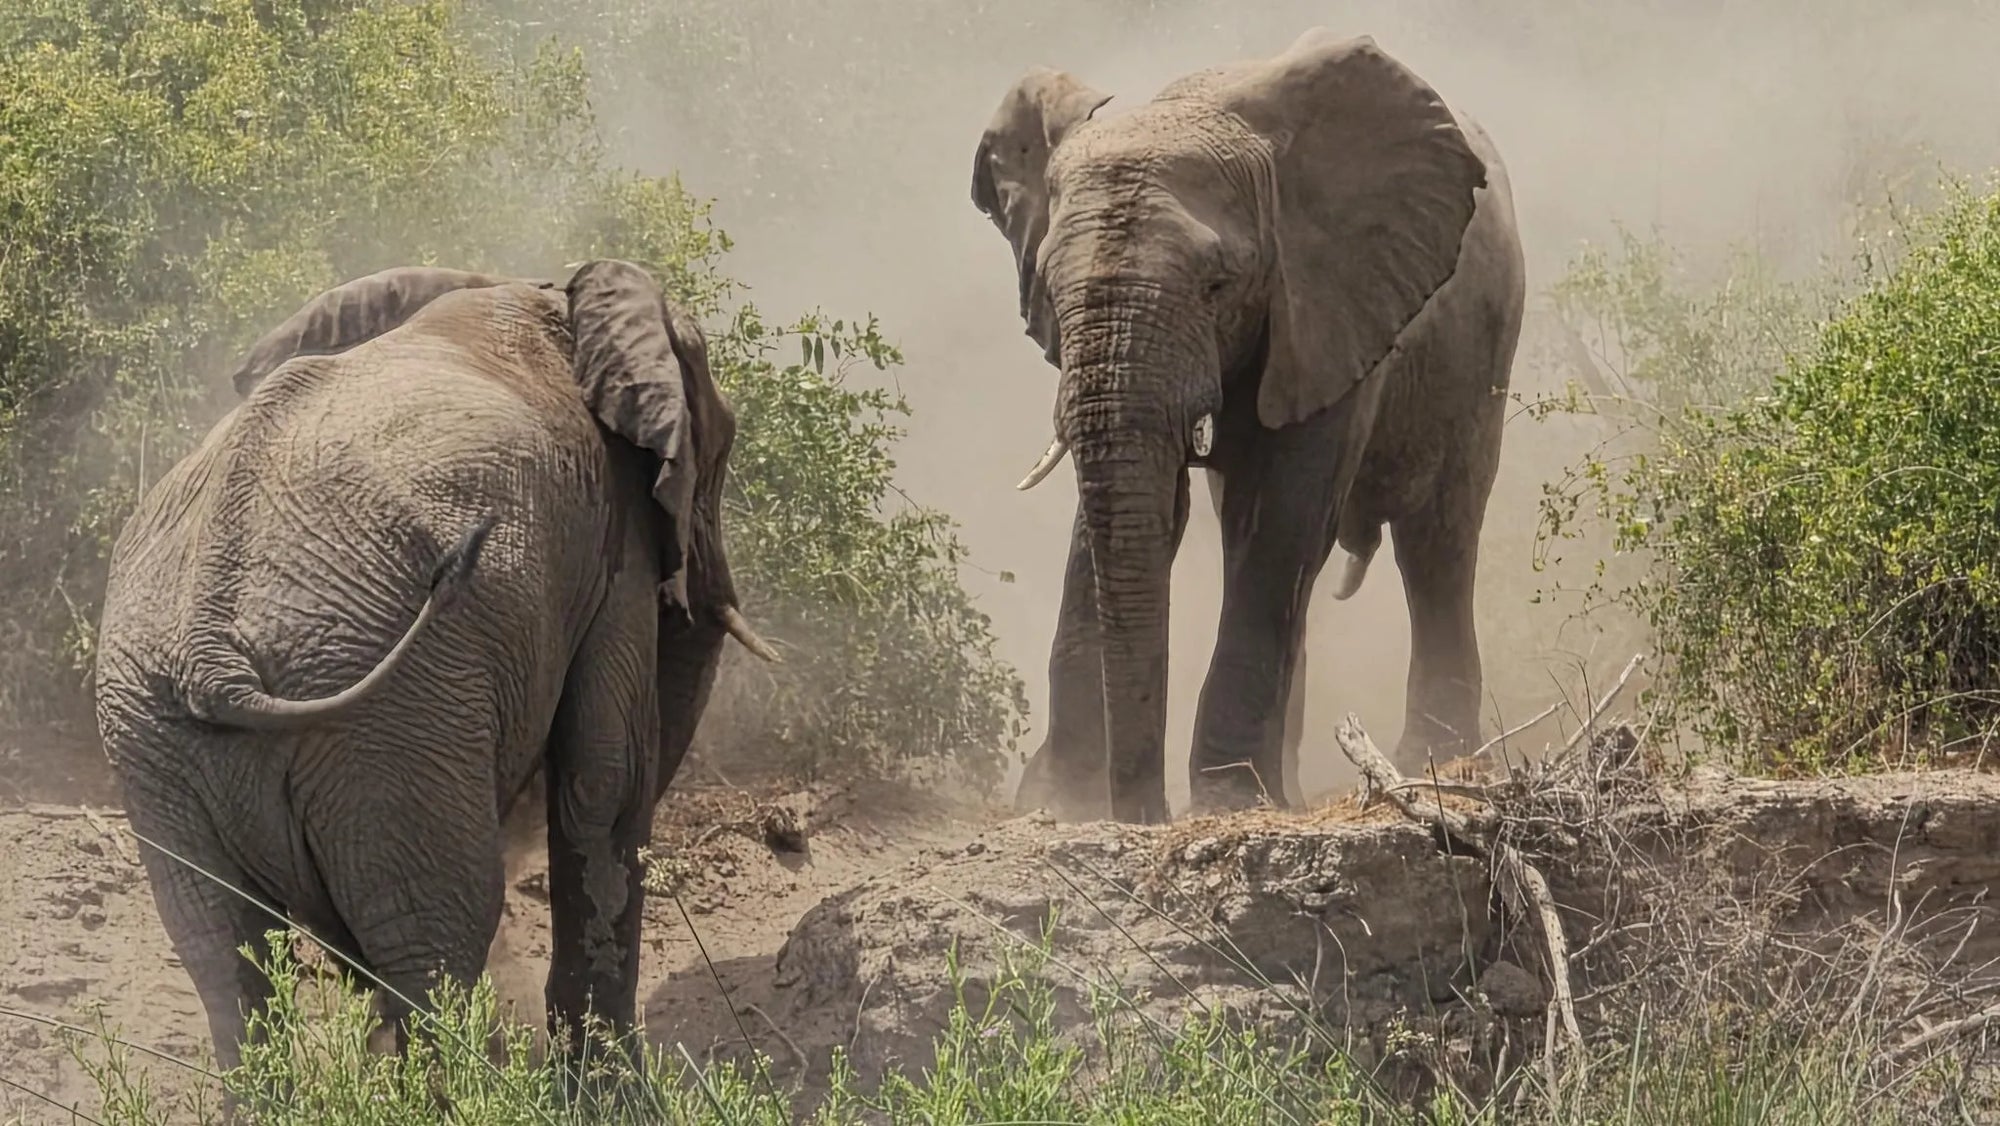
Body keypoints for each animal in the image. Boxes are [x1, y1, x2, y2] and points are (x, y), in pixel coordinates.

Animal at [91, 259, 777, 1077]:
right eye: (722, 447)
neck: (542, 292)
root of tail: (210, 653)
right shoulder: (615, 535)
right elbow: (605, 779)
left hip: (157, 743)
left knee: (225, 960)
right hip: (391, 731)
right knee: (438, 942)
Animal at [970, 29, 1526, 823]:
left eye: (1217, 285)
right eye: (1046, 286)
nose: (1145, 813)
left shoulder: (1327, 300)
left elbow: (1281, 521)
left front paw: (1227, 801)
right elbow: (1133, 516)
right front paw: (1062, 805)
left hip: (1485, 340)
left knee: (1437, 542)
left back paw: (1435, 763)